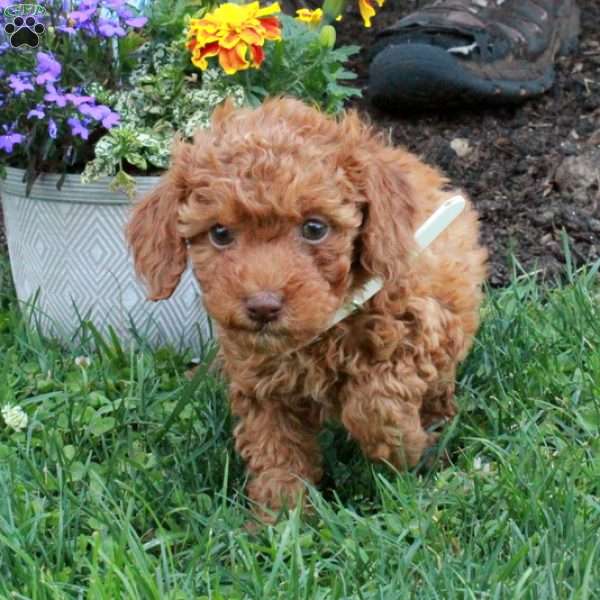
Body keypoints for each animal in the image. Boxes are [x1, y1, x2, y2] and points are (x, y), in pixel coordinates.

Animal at [126, 97, 488, 520]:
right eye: (219, 233)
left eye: (315, 228)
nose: (263, 307)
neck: (322, 330)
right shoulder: (262, 385)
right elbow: (277, 451)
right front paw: (281, 519)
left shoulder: (428, 325)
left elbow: (375, 400)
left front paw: (404, 445)